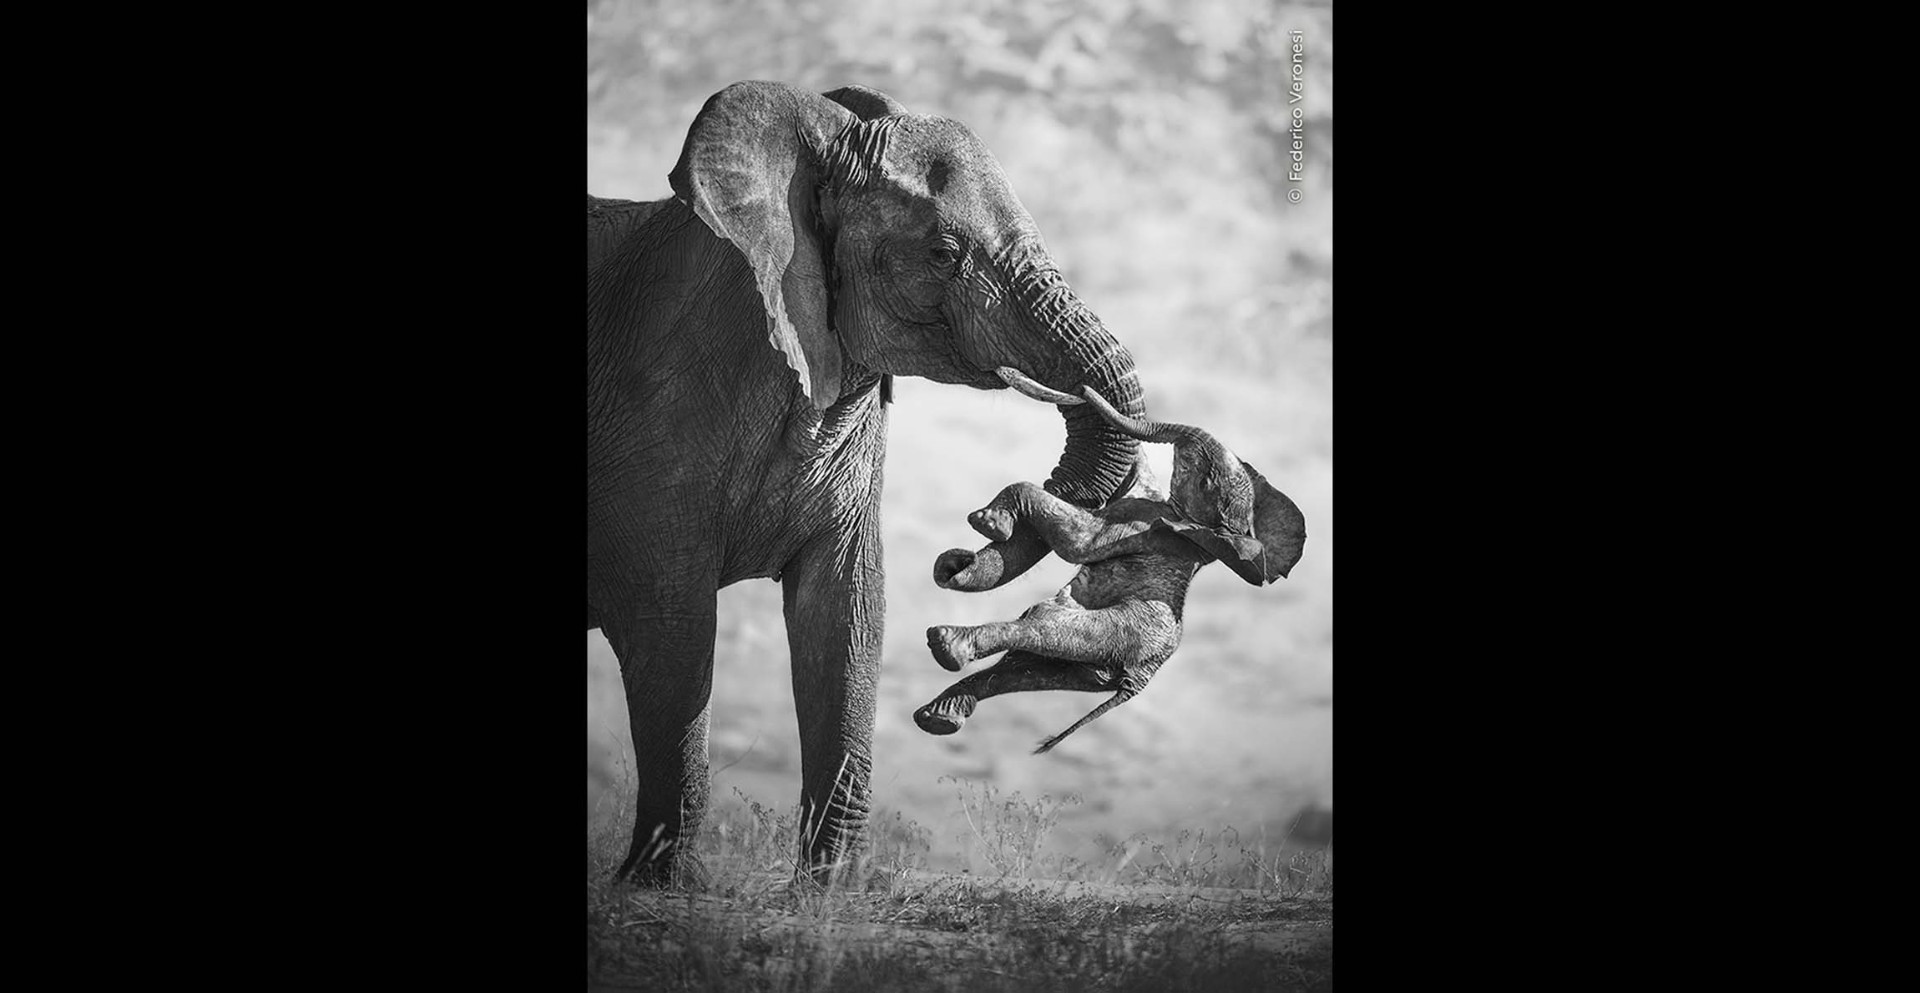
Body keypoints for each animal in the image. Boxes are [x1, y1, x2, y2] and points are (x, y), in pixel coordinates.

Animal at [588, 81, 1152, 885]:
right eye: (943, 254)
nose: (965, 546)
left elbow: (848, 613)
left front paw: (830, 892)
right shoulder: (653, 420)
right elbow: (674, 630)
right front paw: (658, 889)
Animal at [915, 381, 1306, 752]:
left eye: (1205, 480)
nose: (1081, 390)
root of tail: (1138, 681)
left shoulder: (1142, 524)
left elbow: (1077, 542)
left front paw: (988, 524)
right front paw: (956, 561)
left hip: (1116, 632)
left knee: (1041, 627)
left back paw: (946, 646)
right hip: (1095, 666)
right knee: (1023, 669)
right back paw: (938, 716)